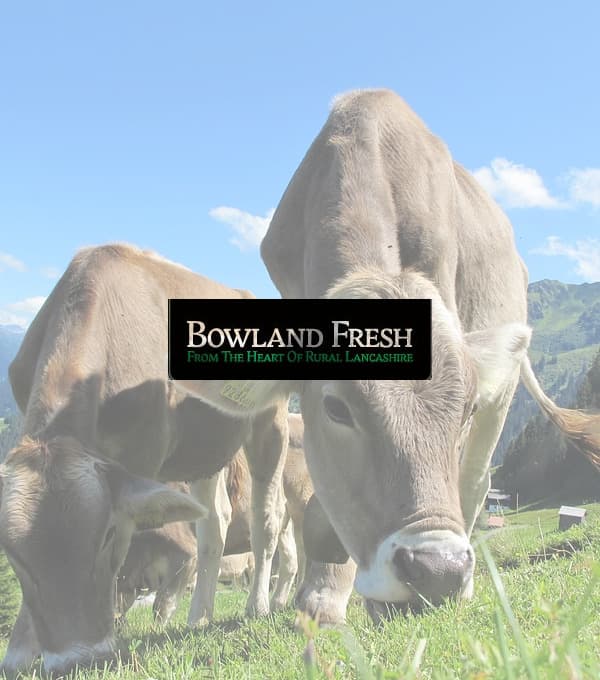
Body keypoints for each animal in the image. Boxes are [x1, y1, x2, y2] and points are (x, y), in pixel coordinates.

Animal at [0, 244, 290, 677]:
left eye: (105, 535)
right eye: (13, 554)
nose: (76, 659)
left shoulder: (141, 459)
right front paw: (19, 650)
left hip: (270, 423)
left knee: (265, 520)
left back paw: (257, 607)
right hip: (205, 450)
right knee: (214, 525)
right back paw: (198, 616)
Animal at [177, 89, 600, 625]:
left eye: (464, 410)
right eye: (337, 408)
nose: (439, 570)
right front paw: (323, 594)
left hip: (501, 395)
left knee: (476, 481)